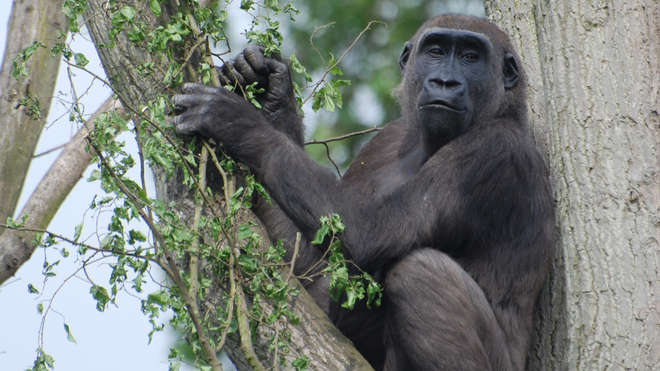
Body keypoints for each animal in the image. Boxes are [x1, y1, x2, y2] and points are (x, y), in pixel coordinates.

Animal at [173, 13, 556, 371]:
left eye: (470, 57)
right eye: (435, 51)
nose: (444, 81)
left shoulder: (493, 151)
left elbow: (369, 232)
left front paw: (238, 122)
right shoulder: (385, 140)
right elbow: (314, 266)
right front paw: (273, 91)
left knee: (419, 272)